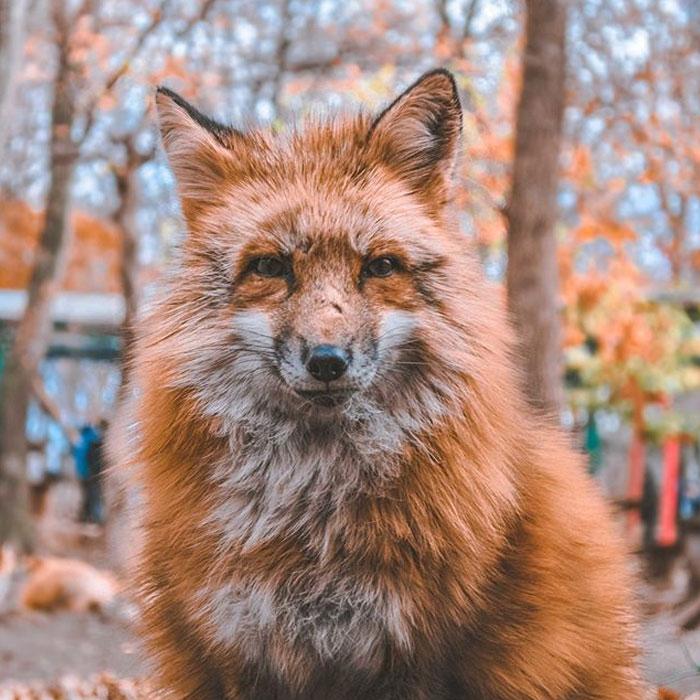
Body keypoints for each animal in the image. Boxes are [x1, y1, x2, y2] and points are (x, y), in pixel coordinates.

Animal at [111, 69, 645, 698]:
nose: (327, 360)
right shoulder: (238, 646)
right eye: (270, 267)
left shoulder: (417, 651)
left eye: (380, 267)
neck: (311, 518)